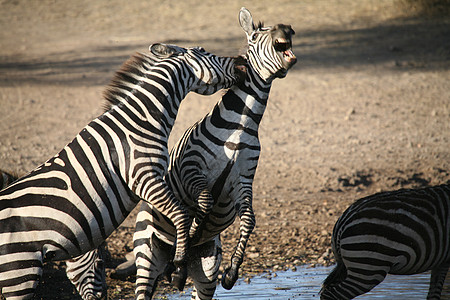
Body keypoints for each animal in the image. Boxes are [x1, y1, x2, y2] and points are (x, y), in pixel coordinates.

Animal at [0, 44, 246, 300]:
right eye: (204, 51)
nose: (243, 62)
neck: (141, 120)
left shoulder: (155, 180)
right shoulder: (144, 177)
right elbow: (180, 214)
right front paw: (179, 265)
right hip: (20, 270)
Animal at [130, 8, 298, 298]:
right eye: (256, 36)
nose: (286, 28)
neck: (241, 125)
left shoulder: (244, 179)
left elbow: (249, 219)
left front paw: (231, 273)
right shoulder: (190, 166)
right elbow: (206, 200)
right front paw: (191, 234)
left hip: (206, 270)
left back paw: (179, 270)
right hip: (147, 256)